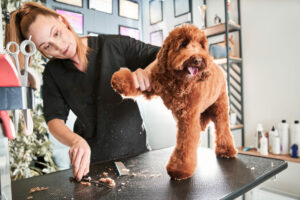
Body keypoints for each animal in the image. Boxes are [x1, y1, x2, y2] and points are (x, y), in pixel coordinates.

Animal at [110, 24, 237, 180]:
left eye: (201, 45)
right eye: (183, 43)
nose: (198, 60)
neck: (179, 81)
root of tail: (219, 68)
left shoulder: (188, 117)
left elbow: (186, 143)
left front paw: (180, 169)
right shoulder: (155, 81)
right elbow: (138, 79)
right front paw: (121, 80)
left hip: (220, 106)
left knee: (223, 128)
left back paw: (226, 150)